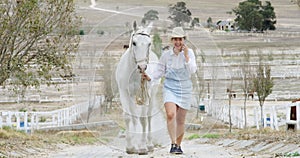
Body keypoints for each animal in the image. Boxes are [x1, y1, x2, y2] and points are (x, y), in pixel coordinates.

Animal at [116, 21, 161, 154]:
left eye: (149, 43)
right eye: (134, 43)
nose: (142, 67)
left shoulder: (145, 94)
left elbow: (143, 119)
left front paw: (142, 147)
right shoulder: (124, 93)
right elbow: (128, 117)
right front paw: (131, 146)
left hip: (151, 94)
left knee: (149, 116)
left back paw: (149, 144)